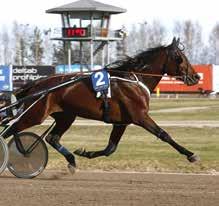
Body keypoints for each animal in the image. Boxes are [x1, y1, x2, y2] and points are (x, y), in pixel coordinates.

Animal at [0, 37, 199, 171]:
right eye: (180, 57)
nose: (196, 76)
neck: (134, 78)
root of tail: (37, 84)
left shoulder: (122, 122)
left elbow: (110, 148)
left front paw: (84, 153)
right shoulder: (140, 116)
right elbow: (164, 134)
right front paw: (191, 154)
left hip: (66, 116)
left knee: (51, 138)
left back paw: (71, 160)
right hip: (36, 113)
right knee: (12, 130)